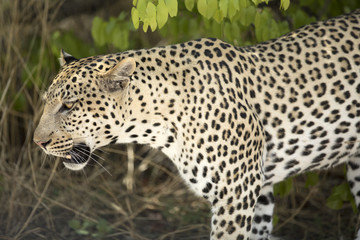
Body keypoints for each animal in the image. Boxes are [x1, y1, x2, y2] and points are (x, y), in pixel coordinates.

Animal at [34, 9, 360, 240]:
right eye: (47, 101)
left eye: (69, 106)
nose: (38, 142)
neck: (158, 125)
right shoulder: (259, 190)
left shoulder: (237, 191)